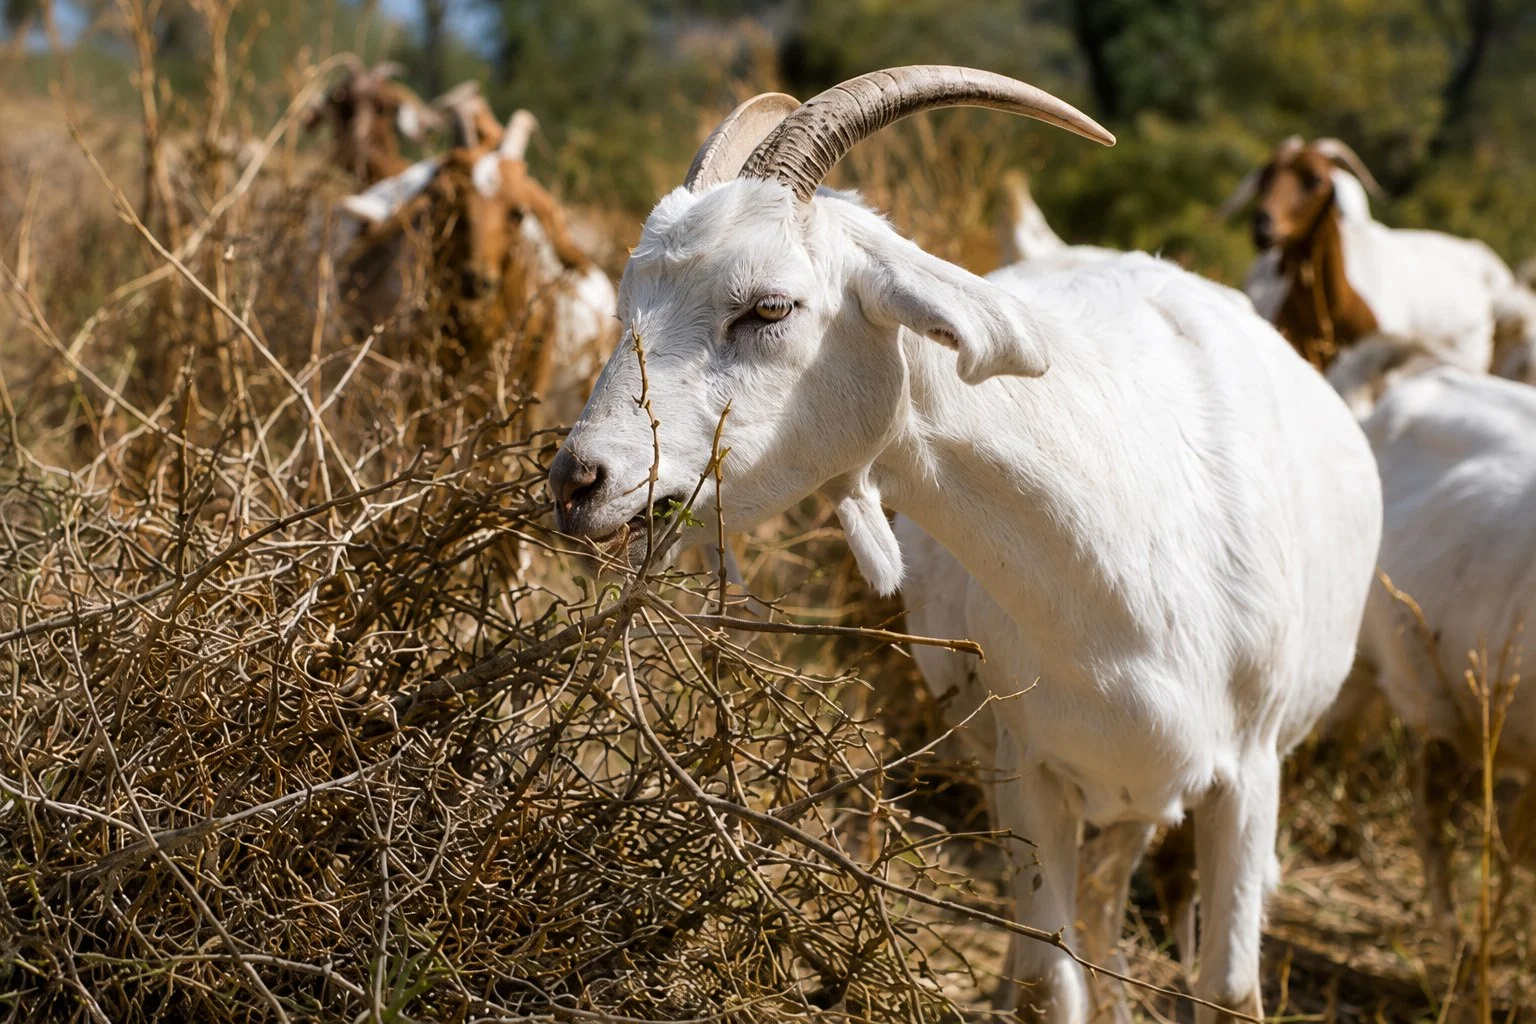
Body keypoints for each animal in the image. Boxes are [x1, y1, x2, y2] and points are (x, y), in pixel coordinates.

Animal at [548, 67, 1383, 1024]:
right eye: (628, 305)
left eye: (768, 307)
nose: (579, 481)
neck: (1139, 557)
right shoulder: (1028, 769)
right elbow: (1050, 983)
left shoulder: (1248, 773)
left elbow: (1229, 989)